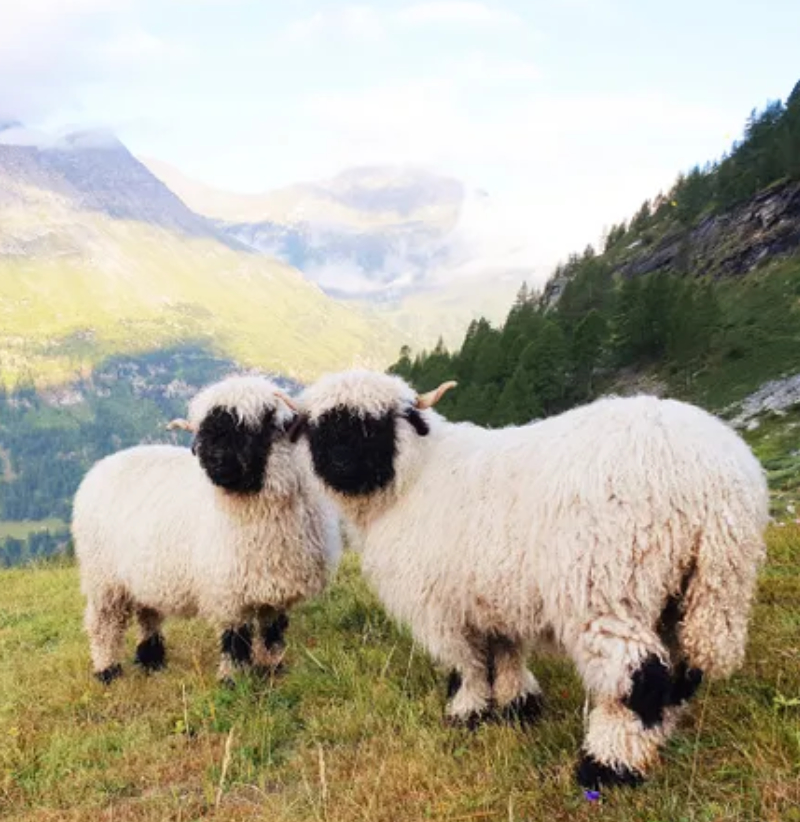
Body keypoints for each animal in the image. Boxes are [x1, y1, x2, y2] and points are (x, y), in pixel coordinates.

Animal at [72, 375, 342, 685]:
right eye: (205, 428)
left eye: (258, 426)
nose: (214, 459)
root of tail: (101, 466)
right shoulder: (228, 591)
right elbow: (235, 640)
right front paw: (233, 681)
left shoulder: (275, 590)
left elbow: (272, 634)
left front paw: (271, 669)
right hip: (103, 577)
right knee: (102, 624)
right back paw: (107, 670)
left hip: (140, 572)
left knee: (147, 613)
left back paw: (152, 660)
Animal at [291, 369, 769, 790]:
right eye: (317, 428)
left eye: (376, 425)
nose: (340, 463)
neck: (412, 479)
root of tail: (710, 479)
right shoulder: (492, 594)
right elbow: (504, 653)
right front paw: (516, 705)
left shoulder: (439, 605)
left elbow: (466, 662)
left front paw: (466, 711)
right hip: (704, 589)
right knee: (681, 672)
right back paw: (655, 738)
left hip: (609, 589)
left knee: (641, 678)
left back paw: (608, 766)